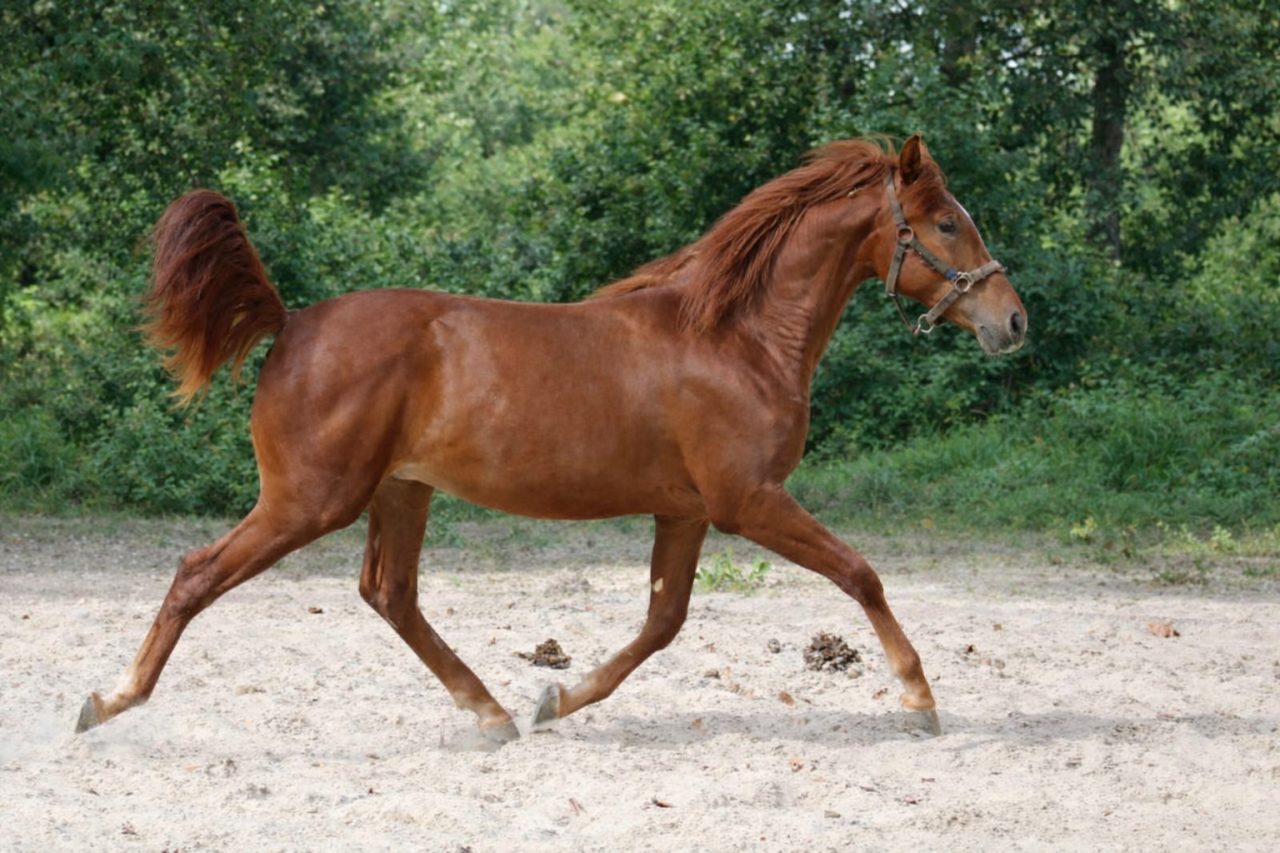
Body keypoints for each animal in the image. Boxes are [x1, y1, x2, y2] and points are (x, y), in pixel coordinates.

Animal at [75, 134, 1025, 743]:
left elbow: (663, 623)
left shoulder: (687, 513)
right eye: (946, 223)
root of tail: (292, 320)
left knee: (390, 594)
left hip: (400, 491)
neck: (737, 338)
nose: (1013, 321)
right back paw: (108, 701)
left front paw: (556, 699)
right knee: (198, 573)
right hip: (311, 499)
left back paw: (492, 714)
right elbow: (861, 573)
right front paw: (920, 699)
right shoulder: (748, 501)